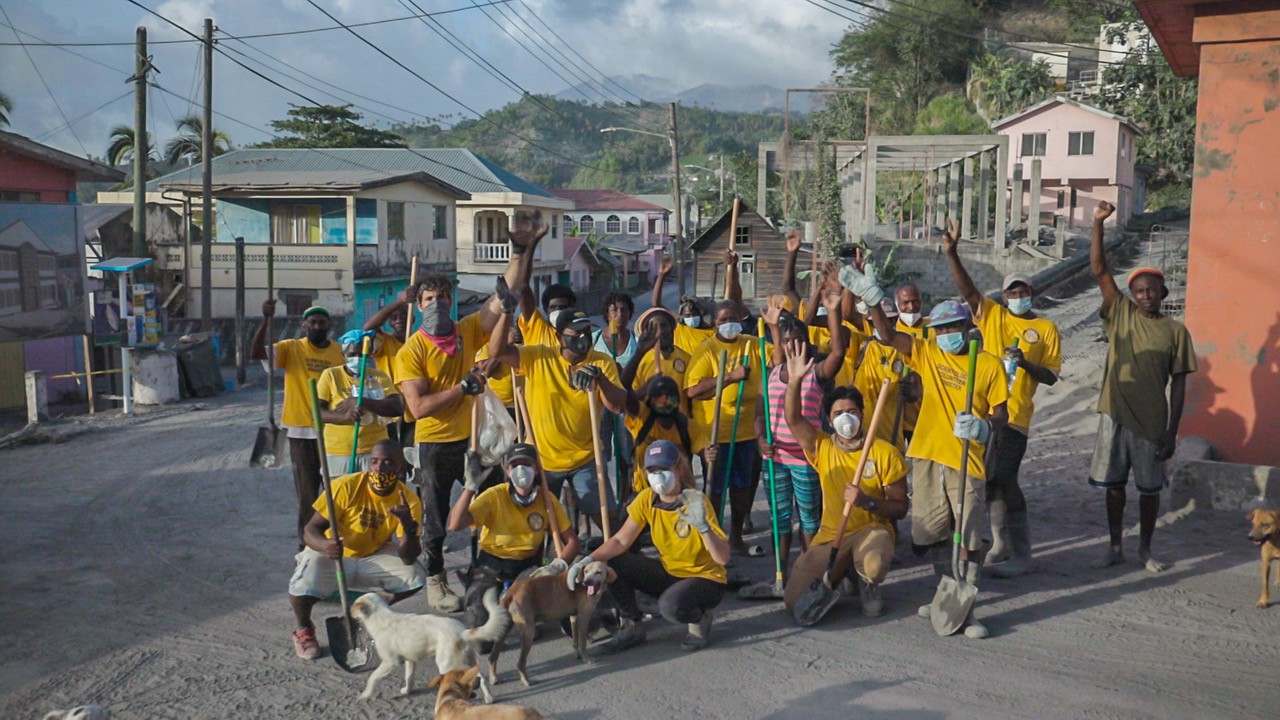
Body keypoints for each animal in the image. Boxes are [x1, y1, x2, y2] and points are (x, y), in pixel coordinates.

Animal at [353, 584, 512, 702]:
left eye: (353, 605)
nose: (349, 611)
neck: (381, 617)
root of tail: (462, 631)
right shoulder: (411, 660)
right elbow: (409, 677)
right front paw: (407, 690)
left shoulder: (389, 662)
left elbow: (372, 677)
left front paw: (365, 694)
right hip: (468, 662)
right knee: (481, 678)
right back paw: (489, 698)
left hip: (446, 664)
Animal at [486, 556, 616, 681]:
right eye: (586, 571)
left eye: (598, 572)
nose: (586, 582)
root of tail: (511, 592)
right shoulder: (584, 617)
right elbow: (582, 643)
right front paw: (587, 659)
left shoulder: (574, 617)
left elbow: (575, 640)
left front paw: (578, 654)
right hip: (528, 632)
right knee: (520, 663)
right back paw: (526, 681)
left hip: (503, 630)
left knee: (492, 657)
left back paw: (493, 678)